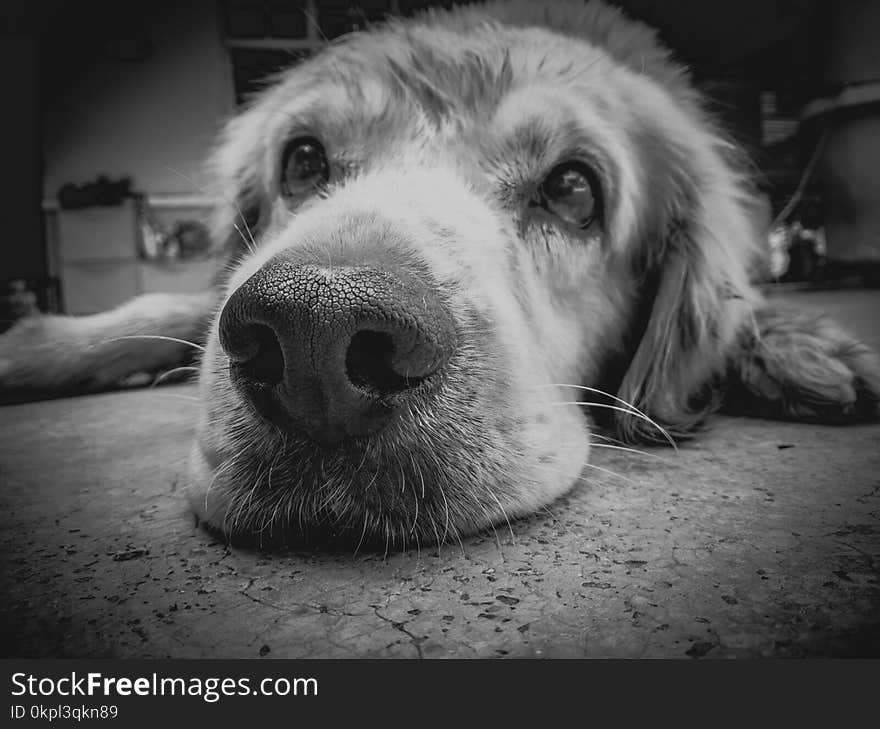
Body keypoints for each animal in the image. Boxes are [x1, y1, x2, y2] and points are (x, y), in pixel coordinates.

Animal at [0, 0, 876, 544]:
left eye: (573, 190)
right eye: (304, 160)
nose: (316, 333)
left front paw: (800, 346)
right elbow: (158, 307)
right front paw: (32, 347)